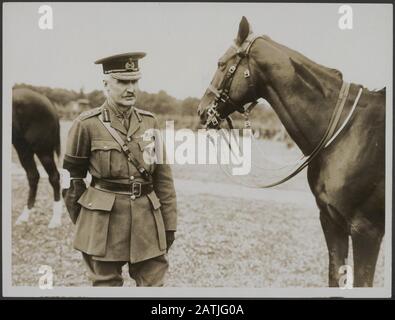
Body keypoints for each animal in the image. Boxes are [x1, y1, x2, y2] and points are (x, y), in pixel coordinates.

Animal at [12, 87, 62, 228]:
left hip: (40, 151)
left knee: (53, 177)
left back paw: (55, 220)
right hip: (25, 149)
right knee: (33, 176)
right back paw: (24, 216)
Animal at [198, 16, 386, 288]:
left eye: (221, 63)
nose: (202, 111)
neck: (347, 131)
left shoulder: (367, 230)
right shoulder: (332, 221)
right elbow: (335, 275)